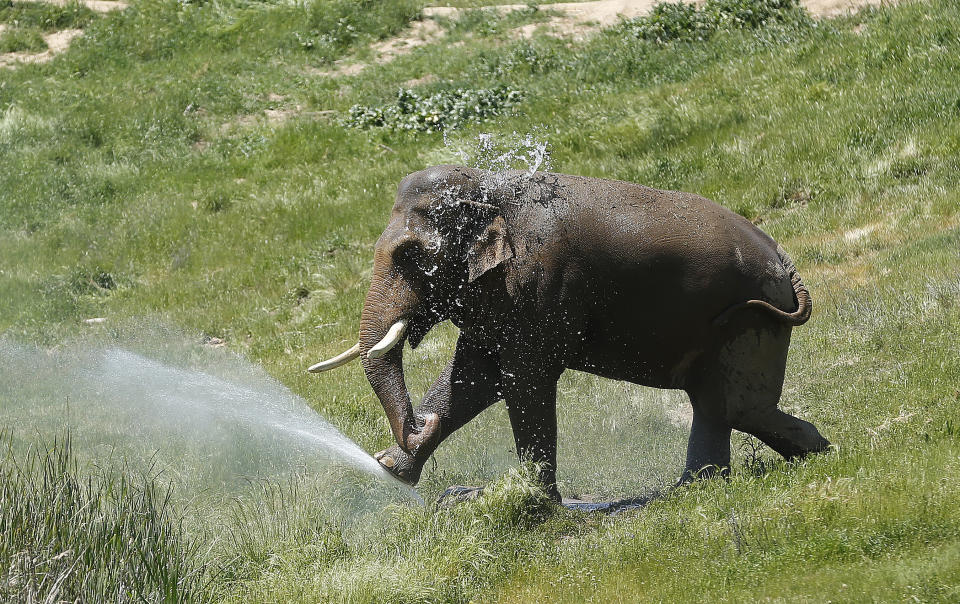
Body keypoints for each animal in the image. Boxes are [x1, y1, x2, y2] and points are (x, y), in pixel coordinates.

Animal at [310, 163, 832, 498]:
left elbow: (523, 380)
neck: (488, 189)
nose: (417, 425)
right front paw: (393, 469)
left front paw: (534, 503)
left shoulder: (538, 285)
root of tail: (785, 259)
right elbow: (474, 374)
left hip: (752, 317)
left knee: (734, 405)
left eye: (409, 255)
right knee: (721, 406)